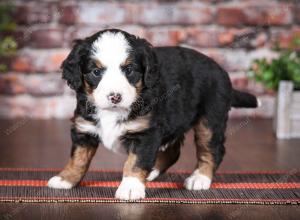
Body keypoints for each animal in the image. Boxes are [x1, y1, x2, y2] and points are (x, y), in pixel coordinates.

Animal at [47, 28, 258, 200]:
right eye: (96, 72)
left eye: (129, 70)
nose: (115, 96)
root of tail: (222, 72)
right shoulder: (84, 129)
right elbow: (78, 159)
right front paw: (66, 179)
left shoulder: (145, 133)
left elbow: (135, 162)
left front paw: (130, 187)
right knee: (173, 151)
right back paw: (153, 172)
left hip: (210, 119)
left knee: (211, 149)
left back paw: (200, 178)